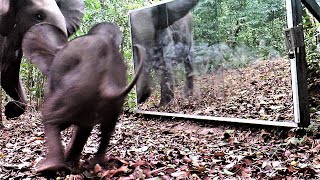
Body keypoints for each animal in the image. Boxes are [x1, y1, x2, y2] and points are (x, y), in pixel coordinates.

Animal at [21, 22, 144, 173]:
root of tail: (106, 81)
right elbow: (83, 130)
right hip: (108, 99)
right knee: (106, 130)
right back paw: (95, 164)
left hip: (75, 91)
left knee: (50, 118)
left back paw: (48, 168)